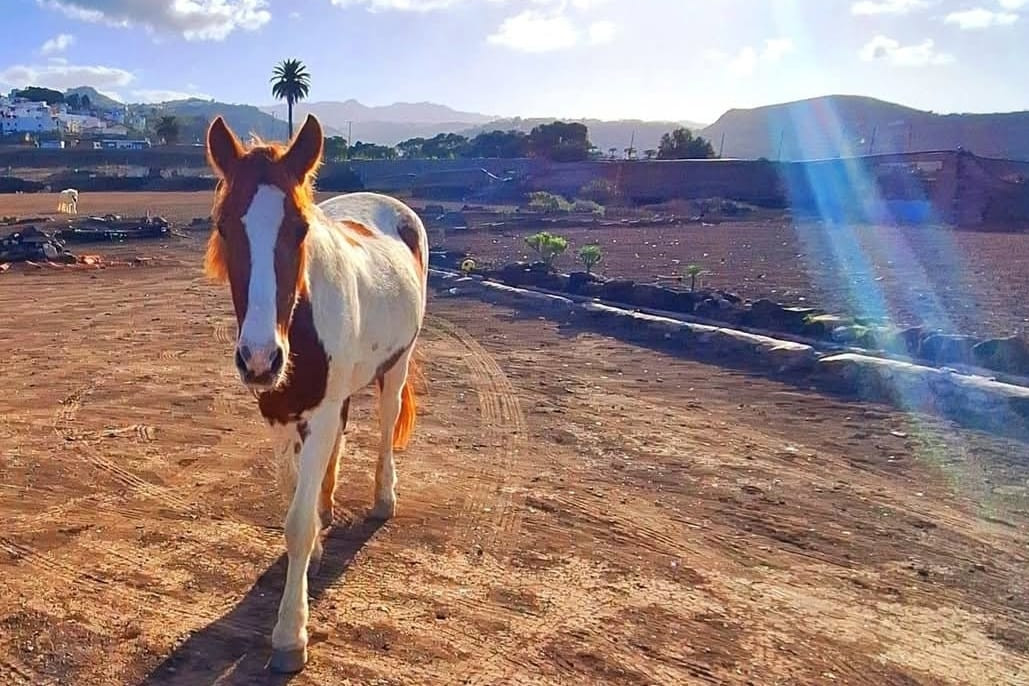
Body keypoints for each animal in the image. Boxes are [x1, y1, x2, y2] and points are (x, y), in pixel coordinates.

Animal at [203, 114, 428, 673]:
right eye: (223, 227)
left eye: (300, 229)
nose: (260, 359)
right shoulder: (277, 413)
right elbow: (292, 505)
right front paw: (312, 551)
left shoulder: (318, 411)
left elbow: (298, 523)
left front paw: (290, 634)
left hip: (396, 366)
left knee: (386, 423)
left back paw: (384, 499)